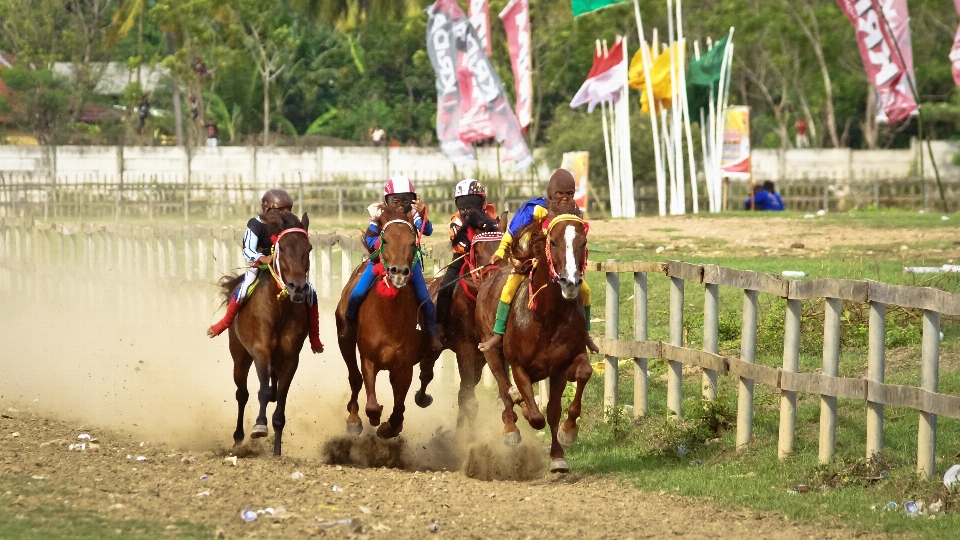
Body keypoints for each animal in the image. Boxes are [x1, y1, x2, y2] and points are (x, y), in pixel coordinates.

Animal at [217, 211, 316, 456]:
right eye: (283, 248)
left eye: (308, 248)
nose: (298, 288)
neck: (279, 308)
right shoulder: (260, 351)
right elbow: (261, 391)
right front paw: (260, 426)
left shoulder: (290, 358)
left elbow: (280, 398)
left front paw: (277, 450)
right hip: (239, 354)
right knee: (242, 393)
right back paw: (238, 438)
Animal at [338, 205, 428, 436]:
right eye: (385, 240)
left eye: (412, 242)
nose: (399, 272)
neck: (390, 318)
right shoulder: (369, 359)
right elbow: (370, 403)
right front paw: (375, 415)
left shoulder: (404, 366)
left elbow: (399, 407)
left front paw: (389, 427)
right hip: (345, 339)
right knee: (354, 378)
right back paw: (353, 419)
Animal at [420, 211, 510, 430]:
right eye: (478, 252)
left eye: (506, 248)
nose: (496, 279)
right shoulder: (465, 348)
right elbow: (468, 398)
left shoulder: (485, 350)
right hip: (433, 345)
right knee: (425, 371)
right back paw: (422, 398)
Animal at [474, 211, 592, 472]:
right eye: (554, 242)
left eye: (583, 243)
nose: (570, 283)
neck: (547, 317)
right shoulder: (518, 365)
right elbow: (536, 417)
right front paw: (524, 407)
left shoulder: (561, 365)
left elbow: (564, 397)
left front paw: (564, 441)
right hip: (490, 349)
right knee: (503, 387)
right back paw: (510, 427)